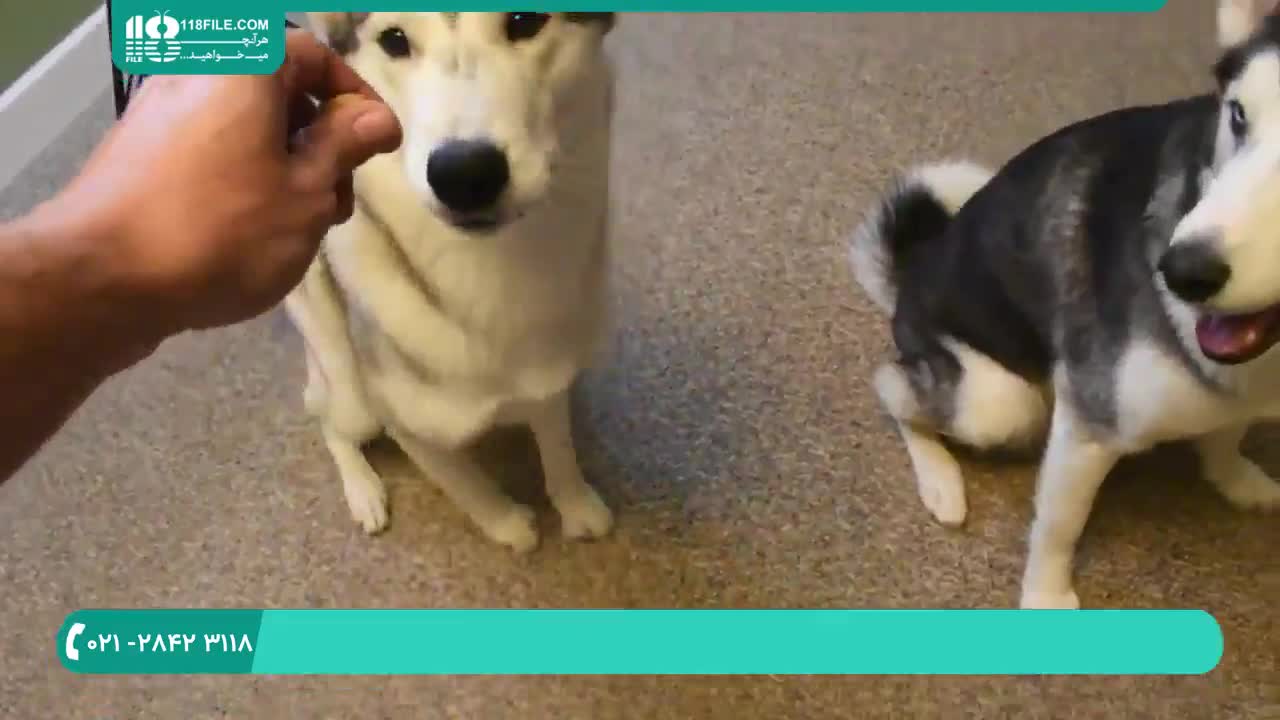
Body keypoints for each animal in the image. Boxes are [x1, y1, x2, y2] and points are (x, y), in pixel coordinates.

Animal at [284, 12, 618, 553]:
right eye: (394, 40)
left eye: (525, 20)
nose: (464, 173)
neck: (493, 274)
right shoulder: (407, 426)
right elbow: (466, 484)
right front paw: (508, 525)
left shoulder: (550, 378)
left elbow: (558, 448)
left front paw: (576, 504)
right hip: (349, 386)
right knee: (329, 421)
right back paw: (364, 491)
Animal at [849, 0, 1280, 609]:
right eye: (1239, 116)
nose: (1182, 271)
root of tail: (911, 274)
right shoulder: (1088, 425)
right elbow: (1059, 525)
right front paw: (1046, 598)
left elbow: (1227, 434)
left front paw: (1235, 478)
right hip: (1000, 402)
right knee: (893, 390)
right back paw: (939, 480)